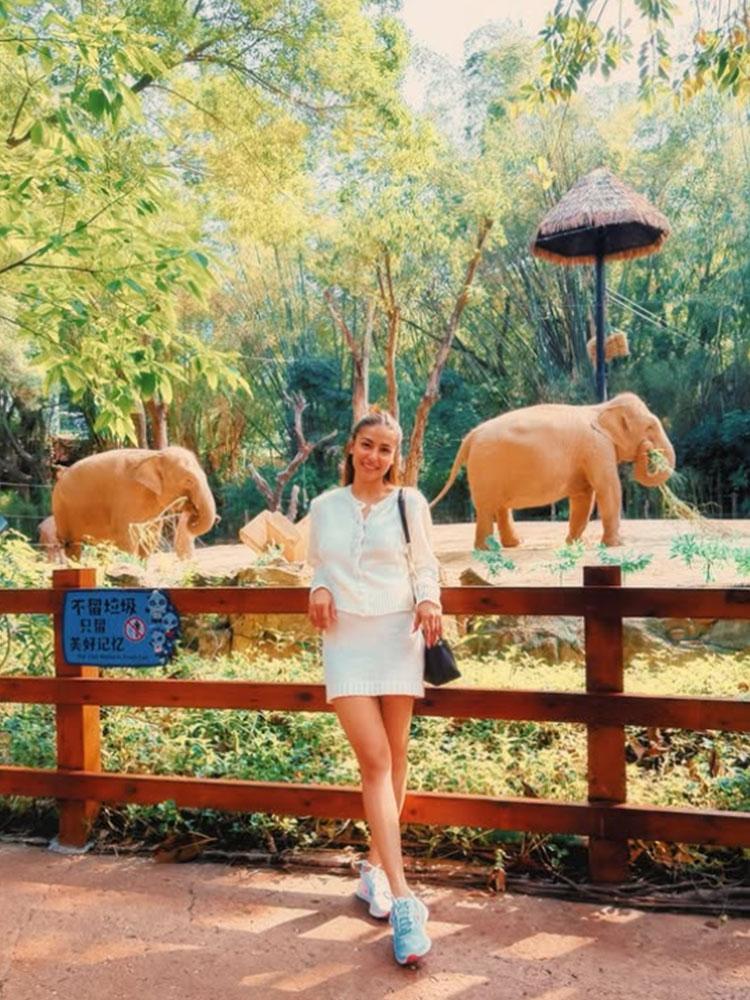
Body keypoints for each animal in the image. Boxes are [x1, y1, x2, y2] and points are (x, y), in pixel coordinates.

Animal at [52, 446, 217, 559]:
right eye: (188, 480)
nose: (192, 509)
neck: (155, 454)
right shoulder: (126, 494)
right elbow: (127, 537)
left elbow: (151, 537)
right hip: (61, 510)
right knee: (72, 545)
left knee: (101, 546)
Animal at [431, 392, 675, 549]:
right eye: (650, 427)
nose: (648, 449)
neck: (601, 408)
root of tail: (470, 436)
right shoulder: (598, 448)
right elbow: (608, 488)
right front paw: (616, 545)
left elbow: (584, 496)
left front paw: (574, 543)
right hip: (485, 468)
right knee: (485, 507)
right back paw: (487, 550)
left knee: (500, 507)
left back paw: (514, 544)